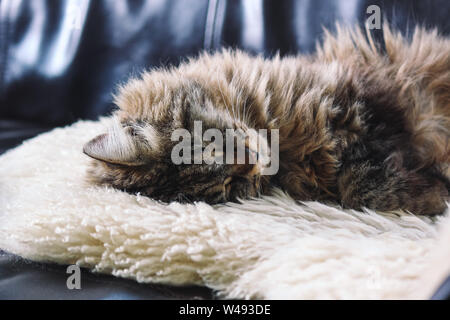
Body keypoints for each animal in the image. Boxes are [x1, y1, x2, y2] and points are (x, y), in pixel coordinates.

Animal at [82, 25, 448, 215]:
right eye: (228, 184)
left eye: (210, 141)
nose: (251, 158)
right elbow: (360, 186)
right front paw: (435, 192)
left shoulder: (366, 98)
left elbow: (369, 174)